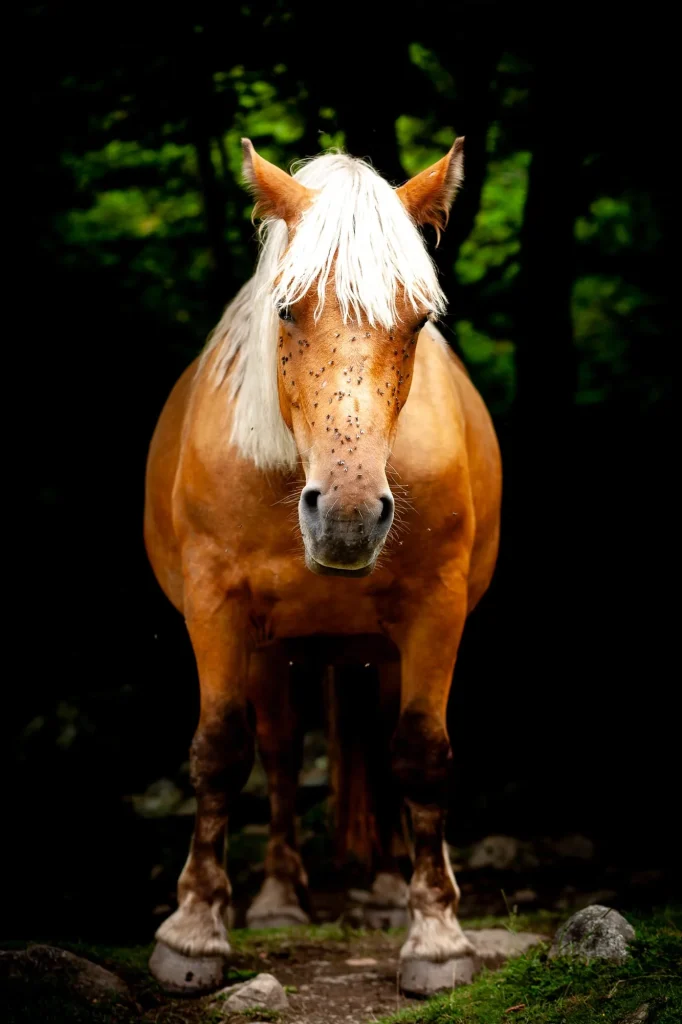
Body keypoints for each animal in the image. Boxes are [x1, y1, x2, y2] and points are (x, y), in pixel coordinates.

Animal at [144, 134, 502, 995]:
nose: (345, 516)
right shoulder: (215, 606)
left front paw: (437, 937)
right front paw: (194, 932)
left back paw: (394, 883)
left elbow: (421, 753)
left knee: (379, 738)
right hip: (274, 650)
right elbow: (219, 752)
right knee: (276, 753)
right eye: (285, 310)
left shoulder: (435, 609)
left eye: (420, 318)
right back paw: (279, 895)